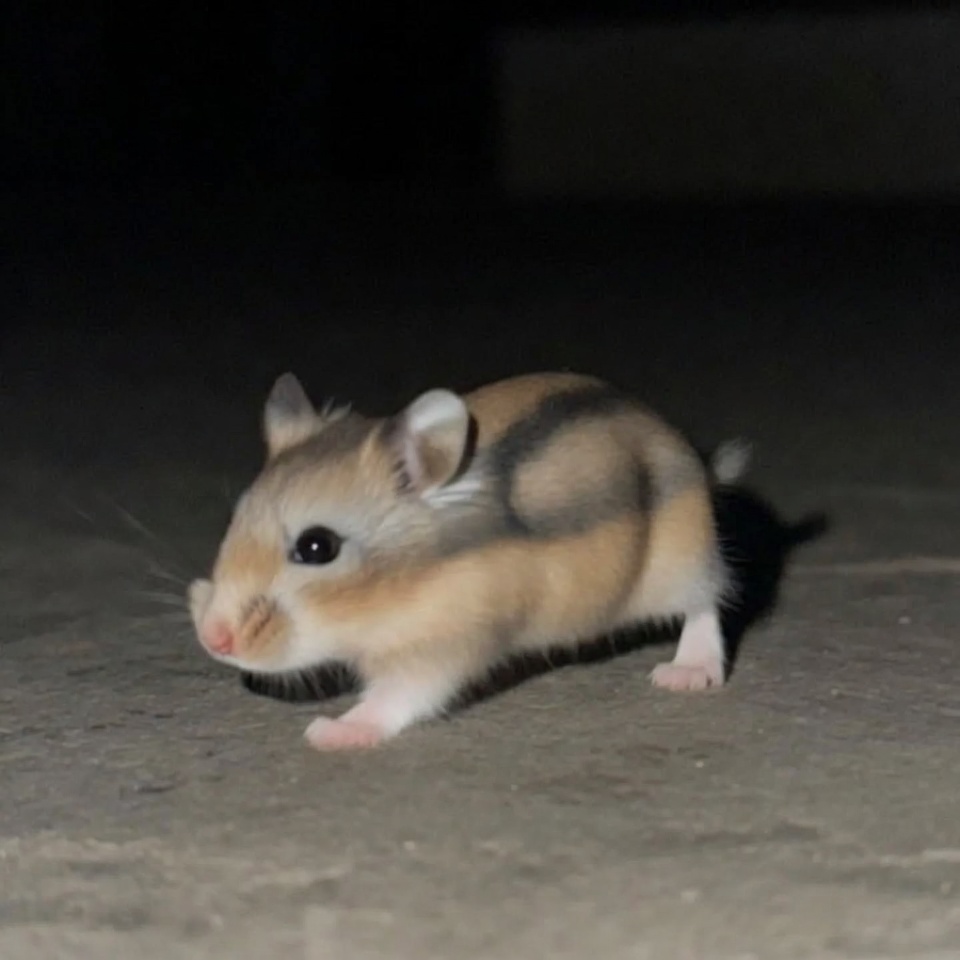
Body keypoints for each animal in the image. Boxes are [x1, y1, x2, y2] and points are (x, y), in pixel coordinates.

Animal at [188, 371, 748, 751]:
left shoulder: (445, 647)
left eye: (316, 547)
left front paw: (327, 732)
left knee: (706, 605)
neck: (397, 591)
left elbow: (396, 696)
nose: (213, 641)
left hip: (681, 561)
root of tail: (699, 466)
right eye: (235, 520)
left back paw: (685, 674)